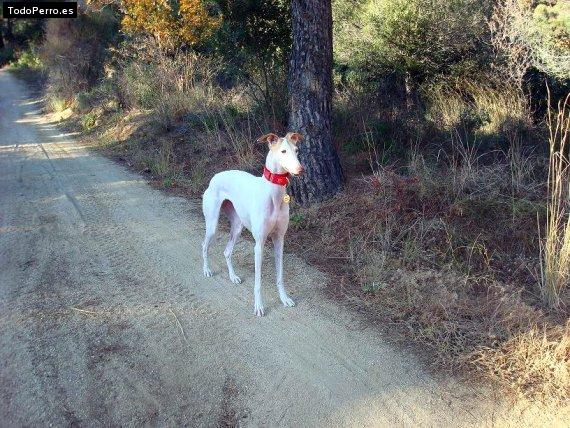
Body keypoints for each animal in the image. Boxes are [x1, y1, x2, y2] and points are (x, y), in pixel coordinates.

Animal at [202, 132, 304, 316]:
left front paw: (284, 298)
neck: (274, 194)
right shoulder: (259, 244)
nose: (301, 170)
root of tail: (215, 176)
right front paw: (258, 306)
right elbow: (258, 281)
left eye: (297, 150)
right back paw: (206, 270)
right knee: (204, 245)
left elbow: (280, 275)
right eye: (283, 151)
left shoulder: (279, 240)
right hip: (212, 224)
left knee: (227, 251)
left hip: (237, 226)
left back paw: (233, 277)